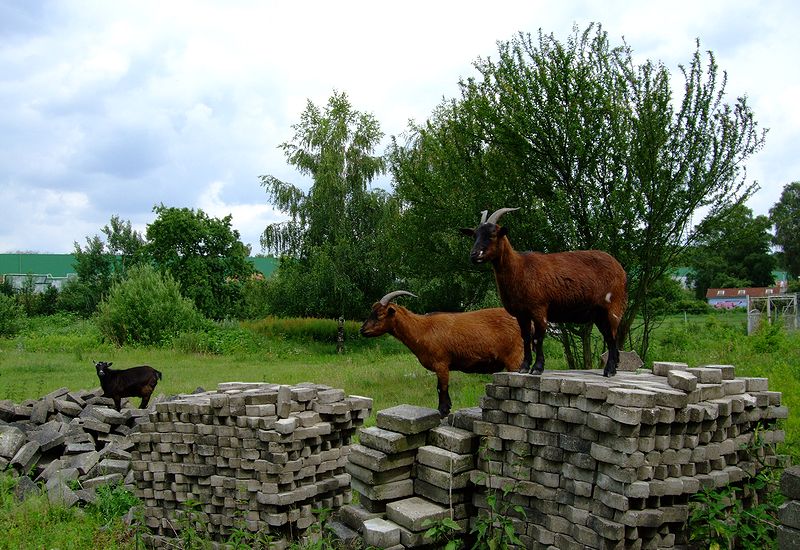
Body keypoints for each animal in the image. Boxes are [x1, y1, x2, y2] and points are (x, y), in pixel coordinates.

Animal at [360, 292, 520, 416]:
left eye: (380, 315)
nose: (362, 330)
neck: (422, 329)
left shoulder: (441, 363)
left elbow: (441, 387)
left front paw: (443, 411)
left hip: (515, 357)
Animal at [462, 208, 624, 380]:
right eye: (474, 235)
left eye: (492, 234)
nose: (474, 255)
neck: (520, 268)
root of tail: (620, 268)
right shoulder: (522, 314)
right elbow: (526, 338)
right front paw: (524, 367)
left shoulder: (539, 309)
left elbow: (538, 339)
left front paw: (537, 368)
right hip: (598, 313)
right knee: (609, 336)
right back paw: (613, 368)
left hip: (613, 306)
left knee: (612, 337)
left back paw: (610, 370)